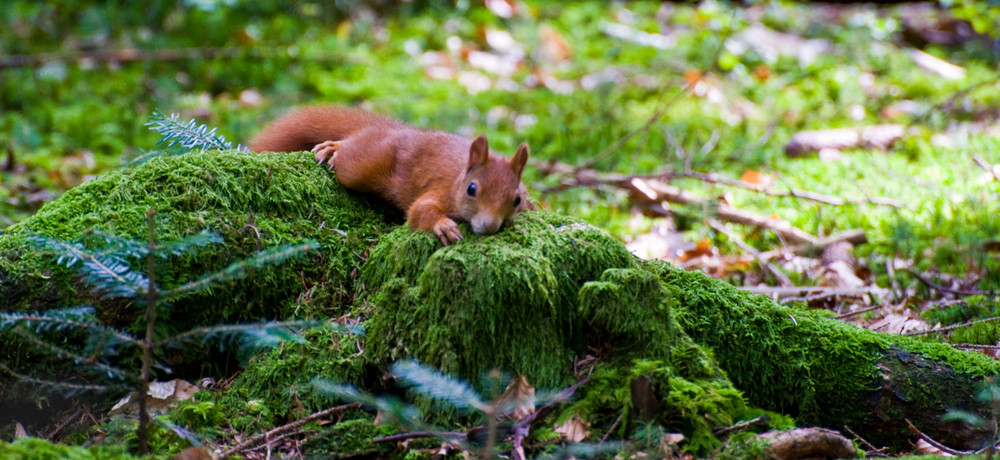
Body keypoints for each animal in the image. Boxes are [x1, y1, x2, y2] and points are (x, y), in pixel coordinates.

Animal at [247, 106, 536, 246]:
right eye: (471, 189)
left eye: (517, 200)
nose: (488, 226)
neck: (458, 178)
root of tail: (397, 130)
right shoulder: (441, 190)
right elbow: (419, 212)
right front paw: (443, 226)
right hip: (365, 163)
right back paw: (333, 148)